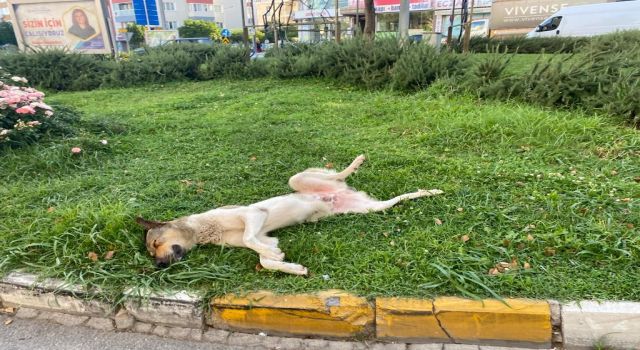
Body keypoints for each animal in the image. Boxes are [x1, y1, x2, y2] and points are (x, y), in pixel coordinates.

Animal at [137, 154, 442, 274]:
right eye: (152, 252)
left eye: (155, 243)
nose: (159, 266)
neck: (205, 229)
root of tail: (335, 195)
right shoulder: (265, 235)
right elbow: (264, 257)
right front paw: (288, 265)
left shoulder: (253, 214)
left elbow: (249, 239)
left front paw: (276, 256)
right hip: (369, 208)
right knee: (396, 200)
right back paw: (428, 192)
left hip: (297, 180)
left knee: (335, 172)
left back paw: (356, 162)